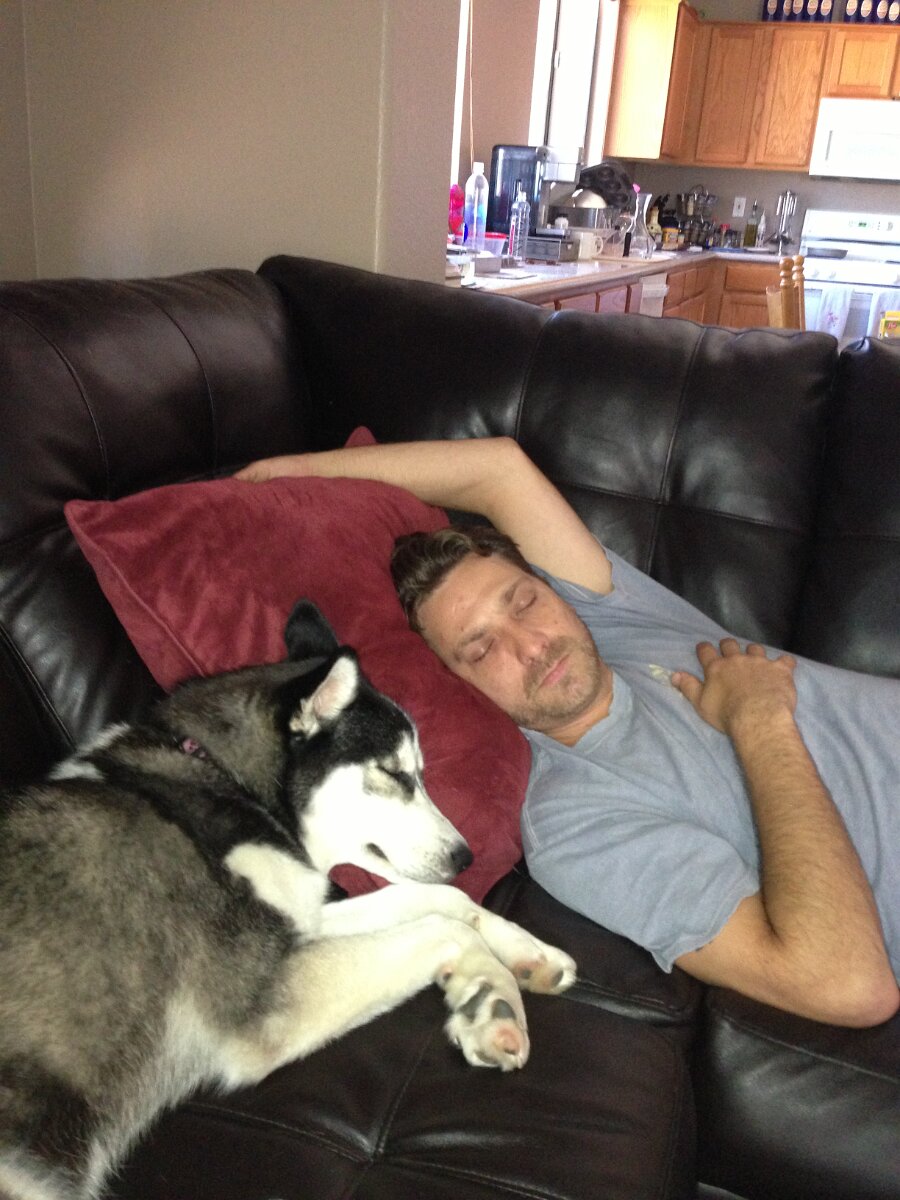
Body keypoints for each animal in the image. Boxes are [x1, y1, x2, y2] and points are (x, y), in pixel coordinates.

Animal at [0, 600, 576, 1200]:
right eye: (394, 772)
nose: (466, 856)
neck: (225, 779)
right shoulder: (265, 999)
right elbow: (444, 927)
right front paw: (493, 997)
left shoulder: (304, 919)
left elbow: (442, 898)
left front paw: (517, 968)